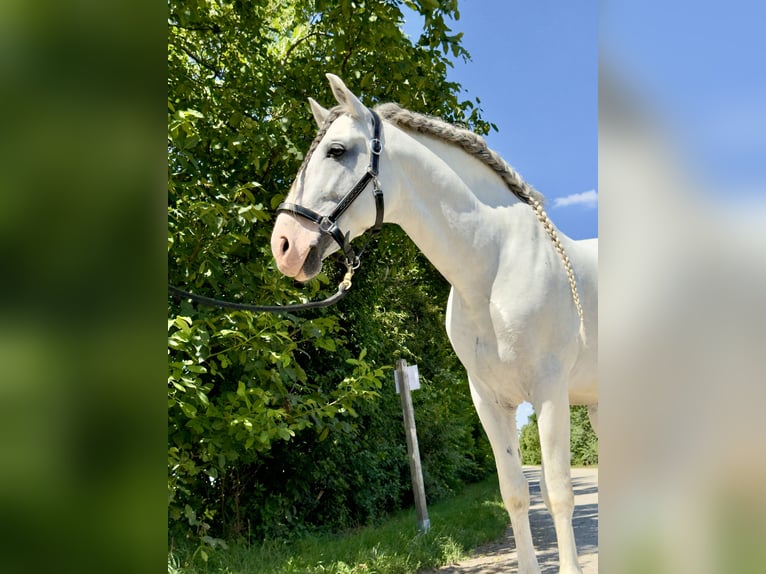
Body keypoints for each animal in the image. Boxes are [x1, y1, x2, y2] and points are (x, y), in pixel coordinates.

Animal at [270, 76, 600, 574]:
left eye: (336, 151)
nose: (284, 245)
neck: (494, 269)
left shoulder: (549, 392)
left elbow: (558, 493)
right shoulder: (489, 401)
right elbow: (516, 494)